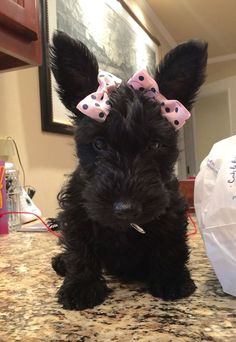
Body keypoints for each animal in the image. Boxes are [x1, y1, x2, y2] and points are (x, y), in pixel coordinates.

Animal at [50, 31, 207, 310]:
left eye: (155, 144)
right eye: (99, 144)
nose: (126, 209)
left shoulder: (170, 211)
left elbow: (171, 244)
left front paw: (172, 280)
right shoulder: (77, 212)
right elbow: (79, 250)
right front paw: (81, 287)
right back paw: (60, 262)